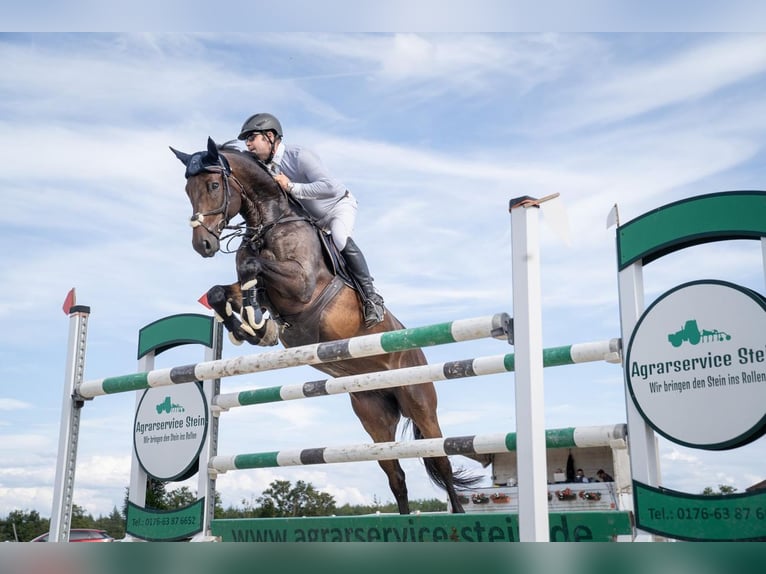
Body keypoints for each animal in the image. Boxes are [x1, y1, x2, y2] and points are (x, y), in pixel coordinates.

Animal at [172, 137, 480, 516]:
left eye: (214, 185)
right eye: (188, 190)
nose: (203, 245)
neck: (270, 224)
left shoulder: (301, 286)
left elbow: (253, 268)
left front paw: (255, 322)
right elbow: (222, 290)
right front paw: (248, 327)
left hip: (420, 402)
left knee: (440, 460)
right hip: (372, 414)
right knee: (396, 475)